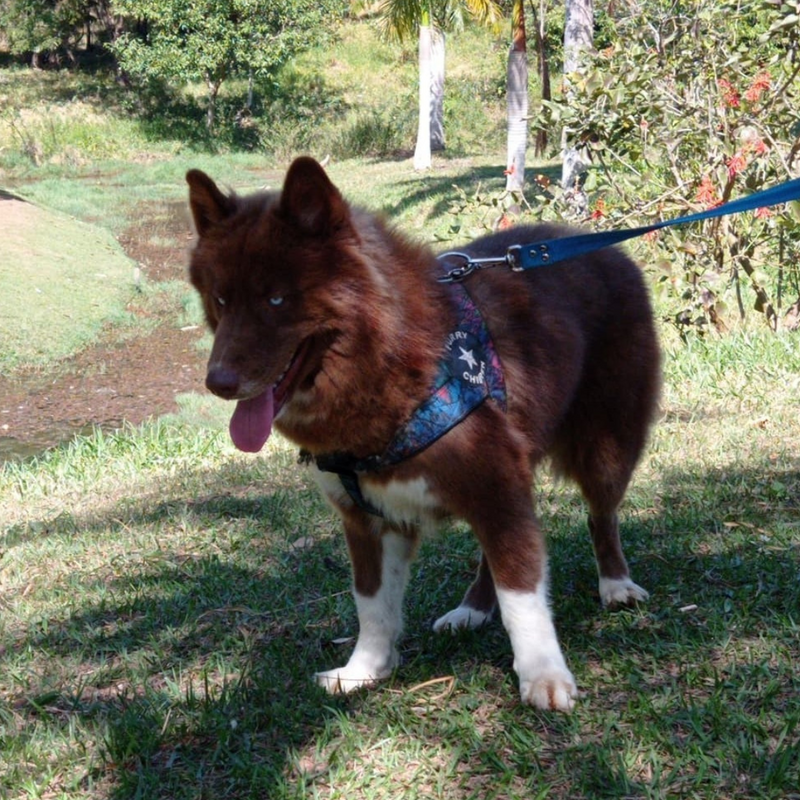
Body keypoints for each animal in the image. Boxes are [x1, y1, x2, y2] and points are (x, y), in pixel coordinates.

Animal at [189, 156, 664, 712]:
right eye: (221, 299)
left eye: (277, 298)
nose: (218, 382)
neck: (385, 356)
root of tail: (602, 245)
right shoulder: (368, 518)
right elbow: (373, 604)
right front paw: (365, 670)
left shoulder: (496, 487)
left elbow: (522, 594)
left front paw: (544, 675)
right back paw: (472, 609)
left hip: (607, 443)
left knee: (600, 515)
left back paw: (615, 584)